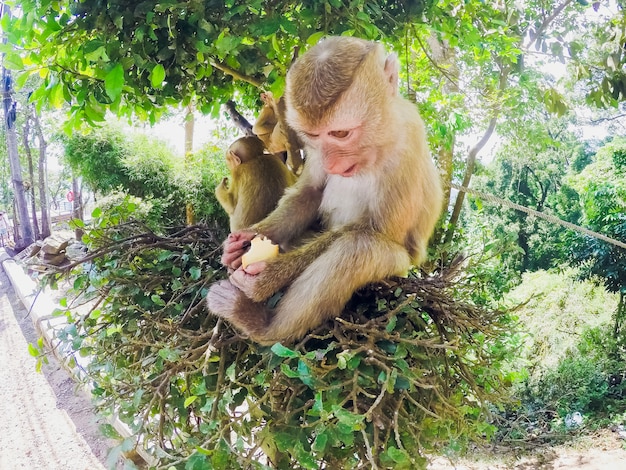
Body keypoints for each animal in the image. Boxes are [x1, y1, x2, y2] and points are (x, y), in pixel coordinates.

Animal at [207, 36, 442, 346]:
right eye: (314, 136)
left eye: (341, 134)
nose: (331, 162)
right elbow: (310, 192)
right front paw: (245, 239)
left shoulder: (408, 142)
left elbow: (376, 231)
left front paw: (269, 277)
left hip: (397, 270)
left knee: (360, 247)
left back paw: (261, 324)